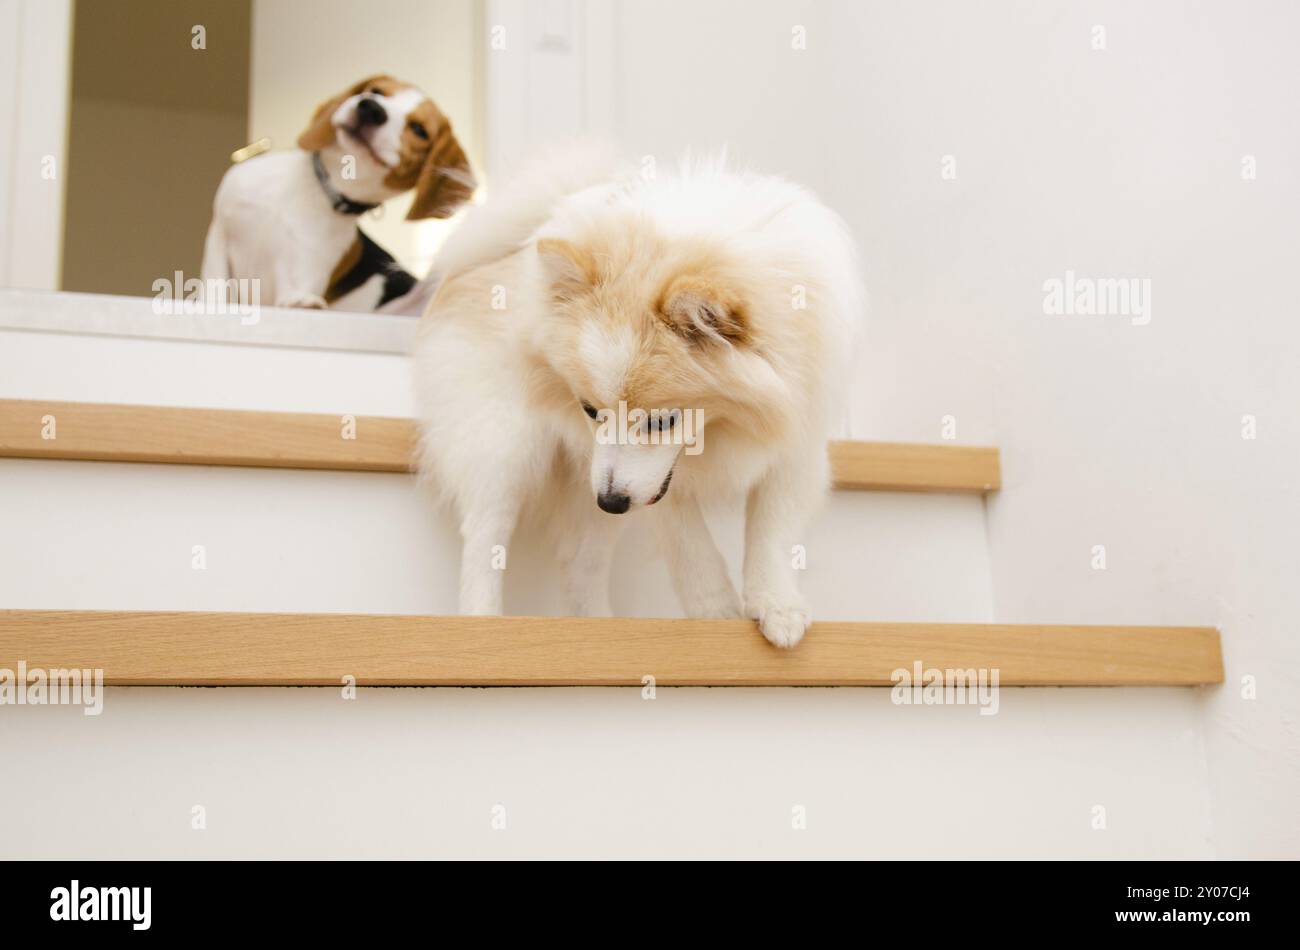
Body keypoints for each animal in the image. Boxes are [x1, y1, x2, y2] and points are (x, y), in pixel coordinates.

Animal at [198, 75, 473, 311]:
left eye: (419, 130)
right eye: (376, 91)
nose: (371, 108)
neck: (320, 190)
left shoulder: (301, 271)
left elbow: (294, 292)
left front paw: (302, 302)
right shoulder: (220, 237)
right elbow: (214, 287)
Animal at [413, 146, 863, 647]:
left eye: (661, 421)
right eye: (590, 411)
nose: (611, 502)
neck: (725, 428)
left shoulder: (796, 436)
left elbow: (772, 531)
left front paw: (777, 605)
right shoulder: (657, 483)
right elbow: (691, 545)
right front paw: (715, 612)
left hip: (580, 480)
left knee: (580, 562)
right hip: (506, 447)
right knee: (483, 540)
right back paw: (482, 622)